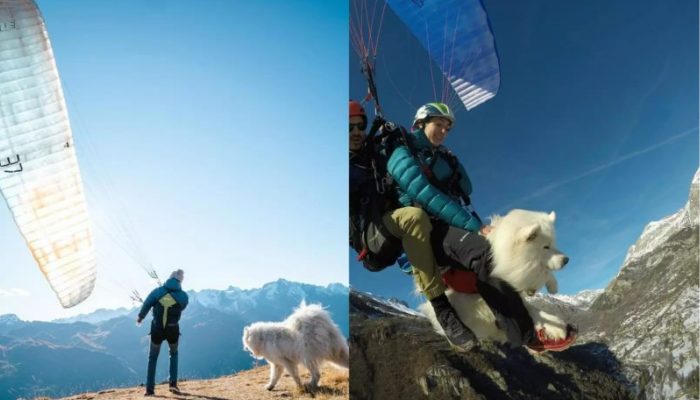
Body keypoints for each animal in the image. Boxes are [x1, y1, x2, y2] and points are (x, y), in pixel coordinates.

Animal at [424, 211, 572, 346]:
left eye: (554, 244)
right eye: (545, 247)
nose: (566, 260)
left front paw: (552, 286)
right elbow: (527, 309)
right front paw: (556, 328)